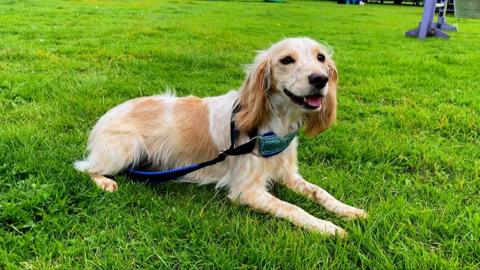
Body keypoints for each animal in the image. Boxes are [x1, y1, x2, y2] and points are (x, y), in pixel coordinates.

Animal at [74, 37, 368, 236]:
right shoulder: (246, 191)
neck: (275, 125)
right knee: (84, 167)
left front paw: (348, 210)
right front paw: (328, 227)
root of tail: (104, 117)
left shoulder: (287, 174)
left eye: (320, 58)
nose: (320, 79)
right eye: (286, 60)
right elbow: (293, 208)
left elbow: (320, 192)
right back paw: (104, 182)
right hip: (126, 148)